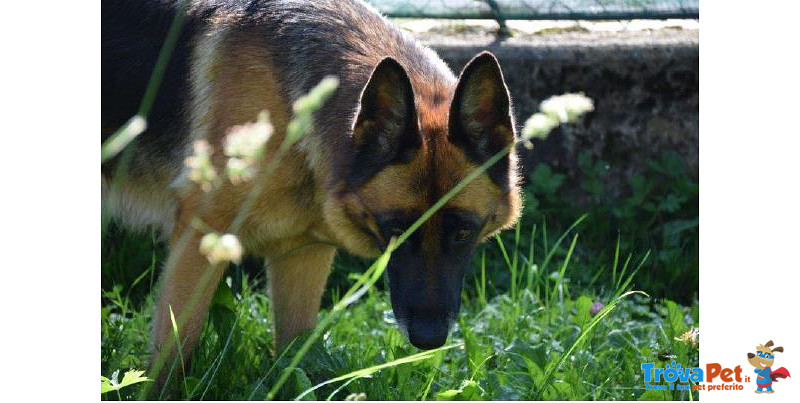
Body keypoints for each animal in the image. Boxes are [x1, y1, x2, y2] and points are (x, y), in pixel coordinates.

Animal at [103, 0, 520, 376]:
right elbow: (174, 356)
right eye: (396, 230)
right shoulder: (200, 241)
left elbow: (293, 357)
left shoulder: (304, 254)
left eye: (463, 232)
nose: (429, 339)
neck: (292, 114)